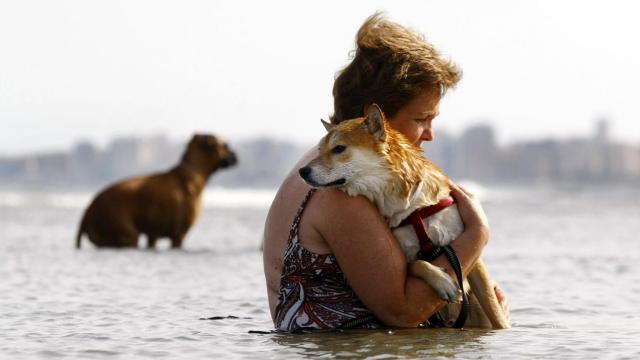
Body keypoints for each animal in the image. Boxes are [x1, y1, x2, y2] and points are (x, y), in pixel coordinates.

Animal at [75, 134, 238, 249]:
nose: (237, 155)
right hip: (125, 234)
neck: (193, 175)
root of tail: (87, 212)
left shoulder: (153, 235)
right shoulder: (178, 235)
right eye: (225, 145)